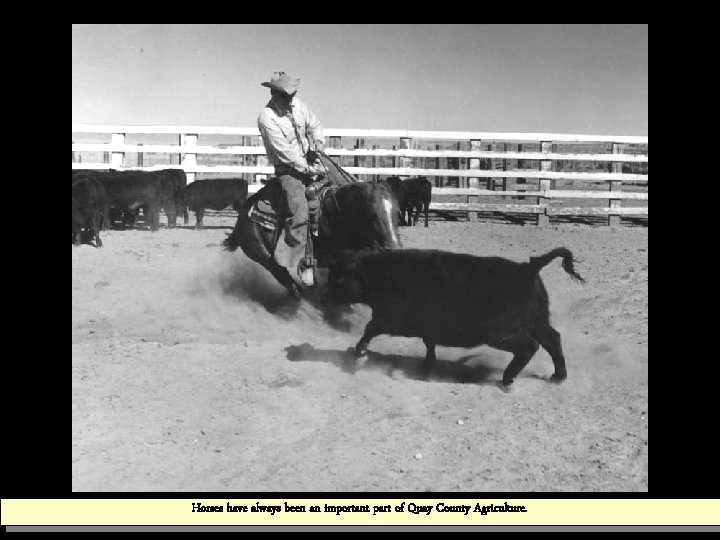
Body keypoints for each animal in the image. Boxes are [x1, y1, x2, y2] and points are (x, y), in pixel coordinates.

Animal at [222, 153, 402, 300]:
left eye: (398, 213)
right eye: (372, 215)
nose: (393, 247)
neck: (338, 213)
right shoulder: (334, 260)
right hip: (264, 257)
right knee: (288, 282)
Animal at [328, 247, 584, 386]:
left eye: (338, 278)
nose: (325, 296)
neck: (383, 274)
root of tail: (527, 268)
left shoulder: (391, 319)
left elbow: (370, 329)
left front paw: (358, 353)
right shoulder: (426, 327)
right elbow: (429, 344)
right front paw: (427, 366)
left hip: (499, 333)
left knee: (530, 347)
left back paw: (507, 378)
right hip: (538, 322)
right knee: (553, 340)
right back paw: (558, 375)